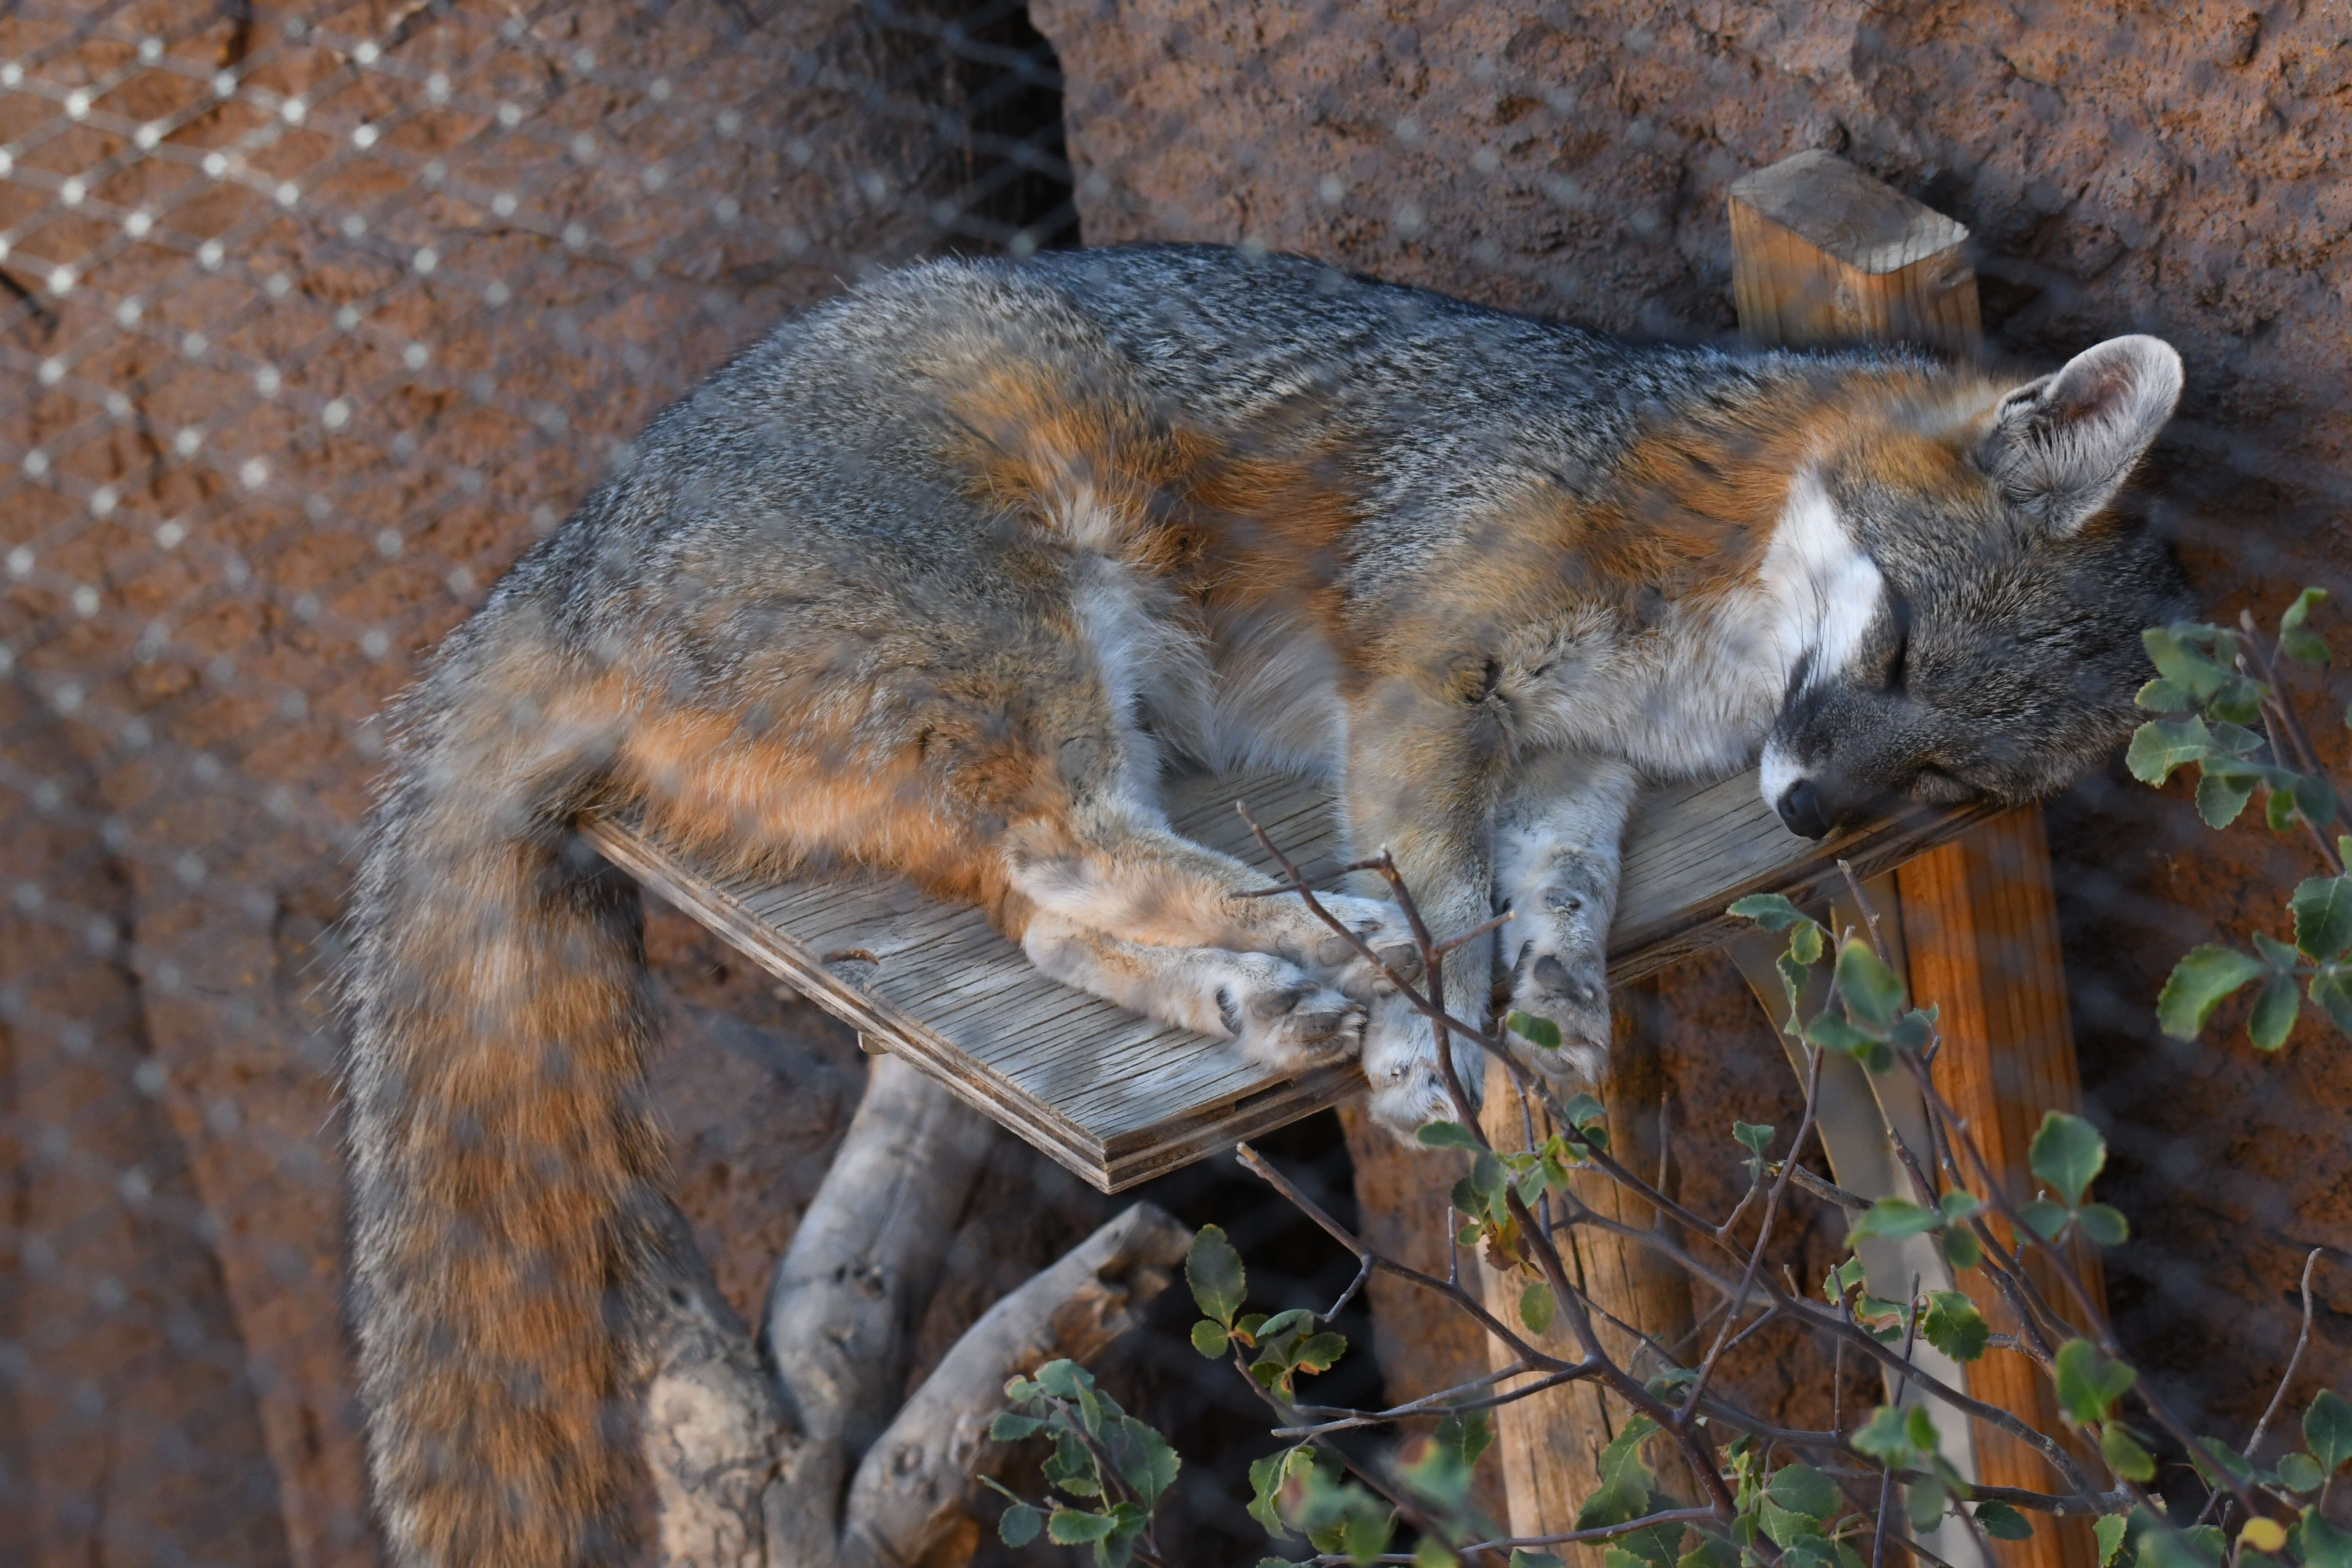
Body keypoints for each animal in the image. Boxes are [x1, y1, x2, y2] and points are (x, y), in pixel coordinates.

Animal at [341, 245, 2192, 1568]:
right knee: (1080, 857)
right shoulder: (1429, 675)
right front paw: (1433, 1046)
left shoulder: (1570, 761)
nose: (1807, 812)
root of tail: (554, 562)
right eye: (1898, 657)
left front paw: (1557, 1010)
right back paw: (1325, 958)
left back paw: (1259, 998)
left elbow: (1559, 895)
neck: (1703, 659)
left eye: (1945, 780)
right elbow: (1441, 894)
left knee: (1044, 917)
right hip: (1051, 642)